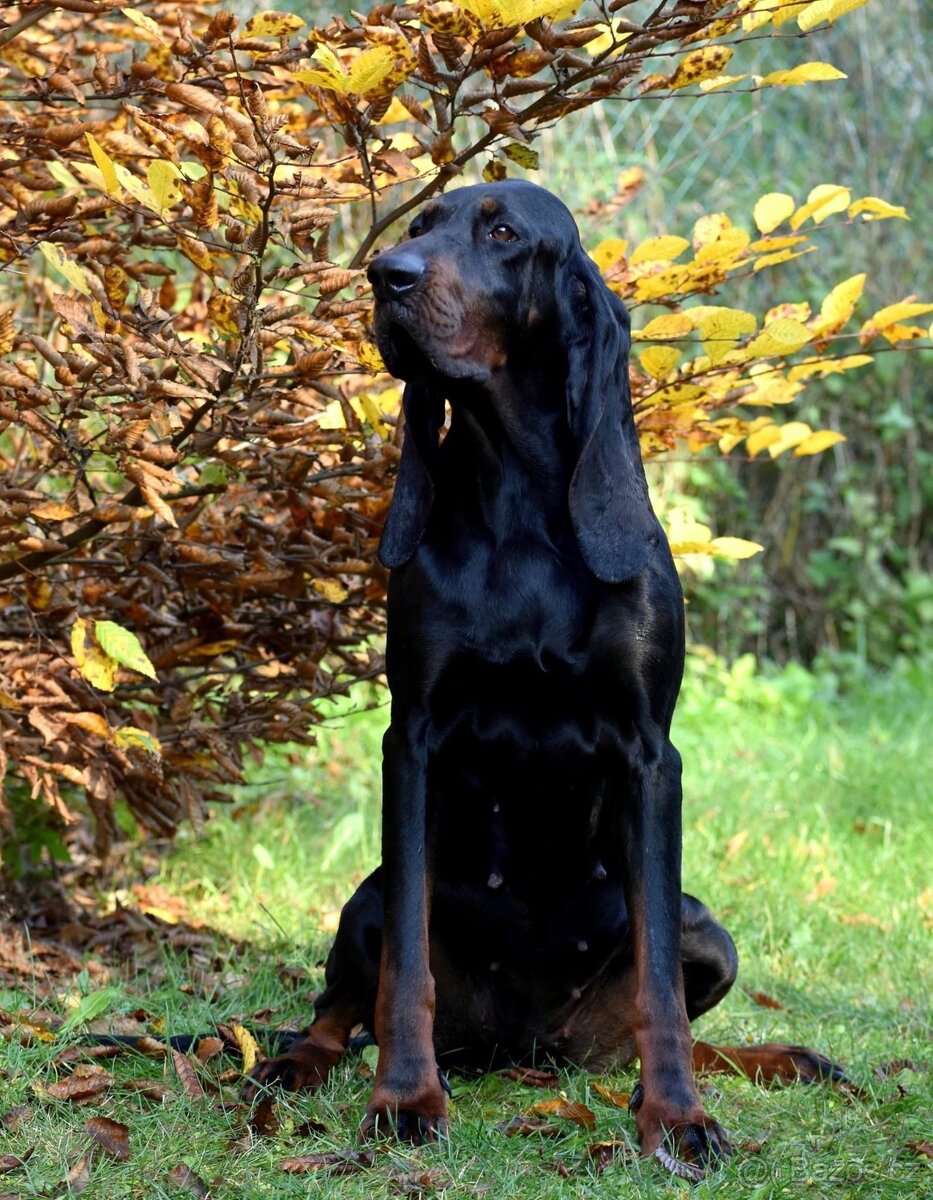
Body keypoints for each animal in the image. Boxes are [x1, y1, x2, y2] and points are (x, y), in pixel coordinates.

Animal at [247, 182, 844, 1176]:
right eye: (420, 227)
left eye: (500, 231)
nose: (384, 275)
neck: (520, 501)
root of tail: (520, 1049)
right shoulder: (411, 742)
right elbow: (405, 973)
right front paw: (404, 1099)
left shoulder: (651, 757)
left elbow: (659, 996)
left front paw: (677, 1118)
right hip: (365, 898)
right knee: (339, 1009)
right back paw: (296, 1065)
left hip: (703, 926)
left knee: (668, 1018)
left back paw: (773, 1058)